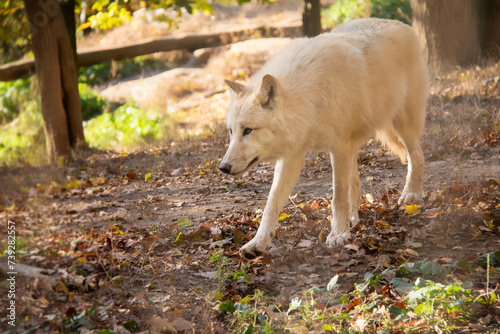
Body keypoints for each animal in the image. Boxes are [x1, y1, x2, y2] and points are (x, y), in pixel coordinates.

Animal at [219, 18, 430, 260]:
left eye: (248, 130)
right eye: (231, 131)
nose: (223, 167)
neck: (310, 99)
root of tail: (403, 24)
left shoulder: (338, 148)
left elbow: (337, 195)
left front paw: (338, 235)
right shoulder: (293, 156)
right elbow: (271, 204)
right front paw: (258, 243)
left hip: (402, 125)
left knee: (417, 156)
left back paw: (411, 194)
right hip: (357, 143)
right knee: (355, 183)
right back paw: (354, 218)